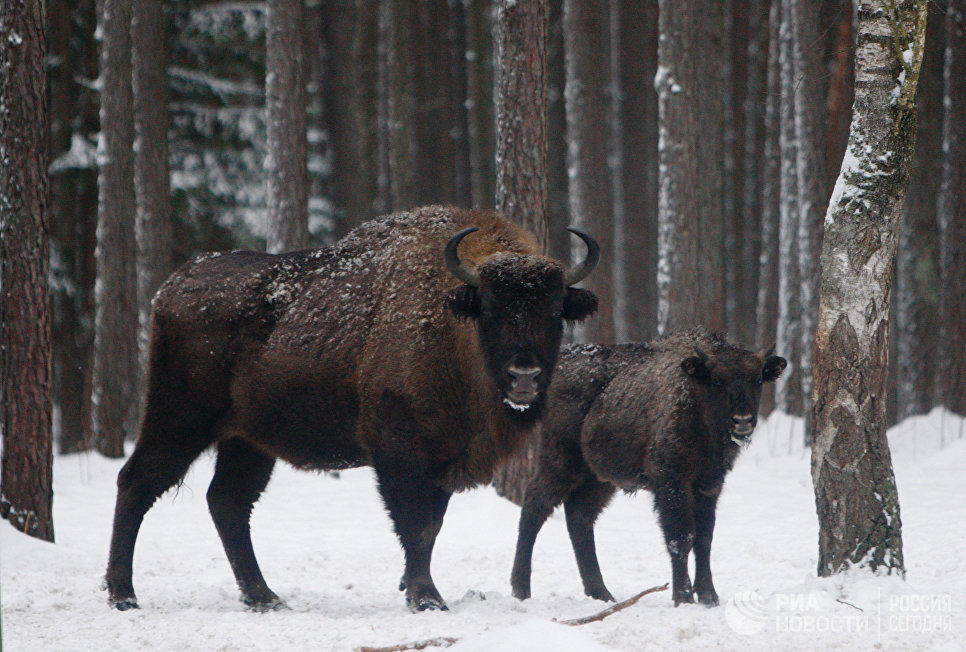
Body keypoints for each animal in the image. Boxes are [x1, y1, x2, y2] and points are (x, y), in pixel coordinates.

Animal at [109, 208, 600, 612]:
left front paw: (411, 586)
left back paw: (265, 597)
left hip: (247, 441)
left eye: (555, 310)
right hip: (178, 419)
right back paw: (123, 595)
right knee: (138, 482)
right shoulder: (399, 450)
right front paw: (426, 598)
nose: (524, 376)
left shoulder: (444, 459)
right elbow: (415, 524)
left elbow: (433, 526)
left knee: (227, 502)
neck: (452, 324)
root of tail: (169, 290)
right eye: (492, 309)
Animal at [510, 328, 784, 608]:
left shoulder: (709, 486)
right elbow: (681, 537)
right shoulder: (672, 483)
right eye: (717, 380)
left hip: (599, 479)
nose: (743, 421)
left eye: (757, 380)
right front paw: (683, 597)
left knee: (579, 517)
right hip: (561, 463)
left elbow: (704, 539)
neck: (696, 398)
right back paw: (521, 590)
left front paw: (709, 597)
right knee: (535, 506)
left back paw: (601, 594)